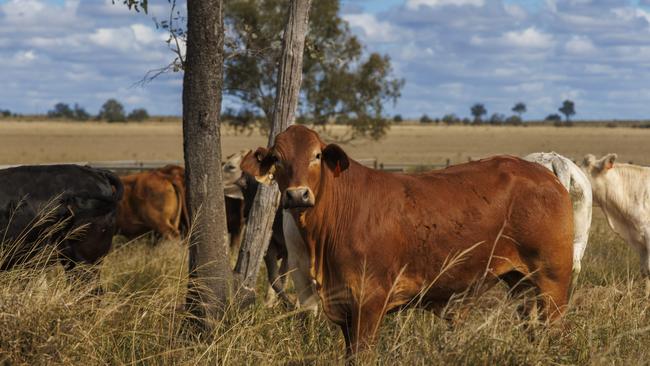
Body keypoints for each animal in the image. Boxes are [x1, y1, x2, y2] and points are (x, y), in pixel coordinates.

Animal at [242, 126, 572, 358]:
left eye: (317, 155)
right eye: (277, 158)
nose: (298, 195)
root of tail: (544, 172)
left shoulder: (369, 305)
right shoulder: (345, 311)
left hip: (552, 281)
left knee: (555, 332)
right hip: (522, 285)